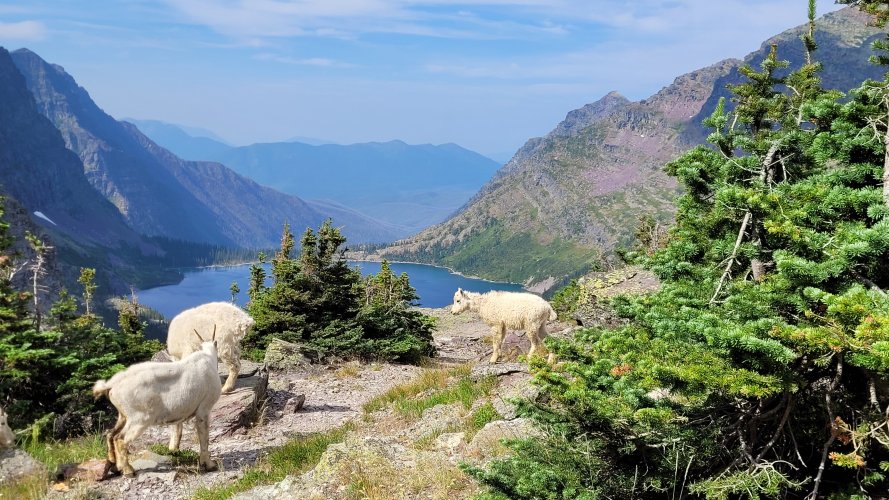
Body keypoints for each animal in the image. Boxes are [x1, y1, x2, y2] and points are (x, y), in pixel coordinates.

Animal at [93, 326, 222, 478]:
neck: (207, 357)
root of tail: (112, 385)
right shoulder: (204, 408)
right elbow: (204, 436)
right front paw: (209, 464)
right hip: (140, 418)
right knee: (120, 439)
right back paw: (128, 470)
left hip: (123, 415)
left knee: (110, 434)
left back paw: (115, 466)